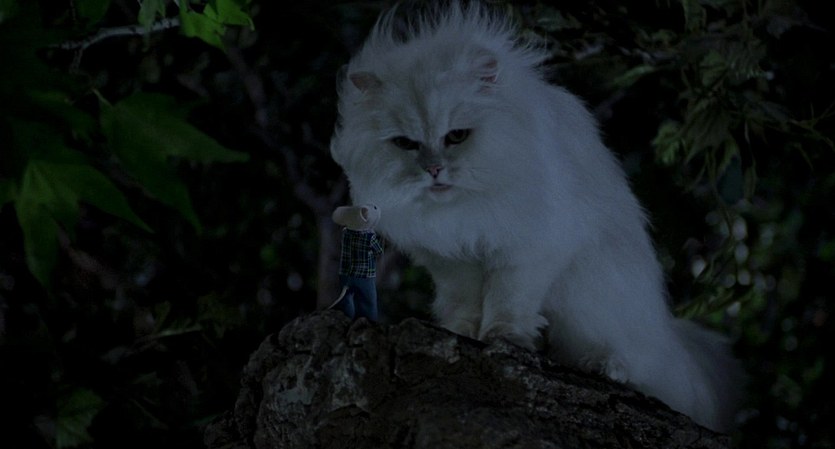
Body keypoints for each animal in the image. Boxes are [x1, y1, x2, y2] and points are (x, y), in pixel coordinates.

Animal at [330, 2, 743, 432]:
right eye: (406, 144)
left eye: (456, 136)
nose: (433, 170)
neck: (463, 208)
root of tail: (669, 337)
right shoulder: (452, 260)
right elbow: (466, 302)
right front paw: (464, 332)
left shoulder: (528, 250)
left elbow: (507, 301)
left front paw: (504, 338)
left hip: (593, 299)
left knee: (636, 360)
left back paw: (603, 366)